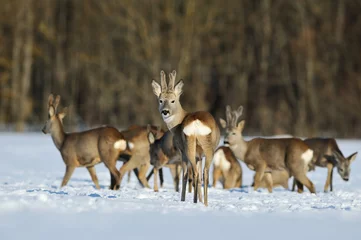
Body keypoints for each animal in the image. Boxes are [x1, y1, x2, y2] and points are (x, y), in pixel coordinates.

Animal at [151, 70, 219, 206]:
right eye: (160, 100)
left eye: (173, 101)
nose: (165, 111)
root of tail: (196, 122)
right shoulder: (195, 154)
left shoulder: (189, 152)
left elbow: (188, 175)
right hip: (202, 147)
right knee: (202, 173)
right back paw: (203, 203)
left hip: (190, 145)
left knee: (194, 173)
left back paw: (196, 202)